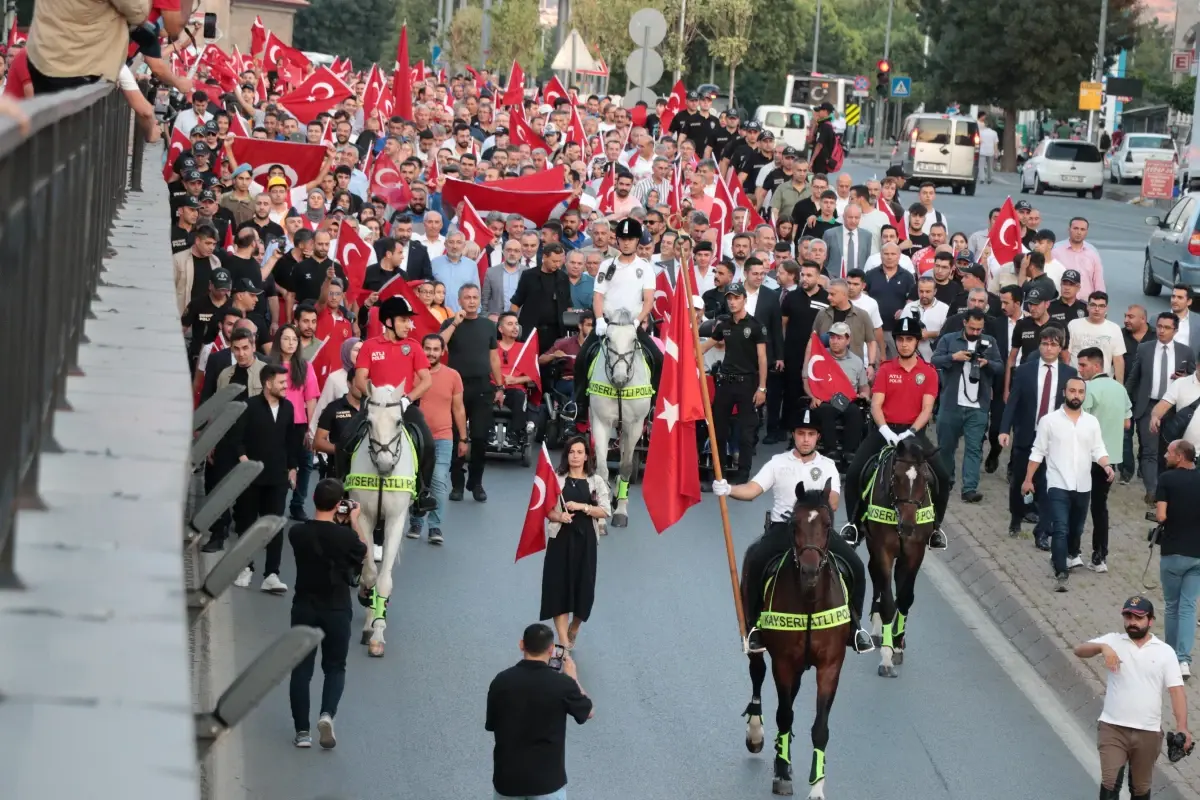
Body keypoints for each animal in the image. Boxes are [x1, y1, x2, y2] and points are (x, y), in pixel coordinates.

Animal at [348, 386, 417, 657]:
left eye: (398, 421)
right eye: (369, 422)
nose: (385, 464)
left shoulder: (396, 520)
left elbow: (384, 580)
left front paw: (378, 634)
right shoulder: (364, 517)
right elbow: (369, 574)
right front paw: (369, 622)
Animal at [585, 311, 652, 532]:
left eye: (634, 339)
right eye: (608, 338)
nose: (620, 378)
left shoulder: (636, 426)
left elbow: (626, 467)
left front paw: (621, 512)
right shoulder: (601, 423)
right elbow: (602, 468)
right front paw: (601, 516)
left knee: (624, 454)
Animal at [744, 479, 849, 796]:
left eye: (827, 524)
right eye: (795, 525)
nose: (810, 570)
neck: (810, 601)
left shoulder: (830, 666)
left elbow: (820, 727)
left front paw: (817, 787)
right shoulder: (783, 662)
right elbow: (784, 714)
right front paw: (781, 773)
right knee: (757, 674)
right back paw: (756, 734)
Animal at [868, 434, 931, 681]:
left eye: (925, 478)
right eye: (896, 476)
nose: (908, 526)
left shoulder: (915, 553)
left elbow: (904, 598)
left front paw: (897, 644)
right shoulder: (882, 551)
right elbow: (888, 602)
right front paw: (886, 657)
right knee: (876, 578)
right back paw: (877, 629)